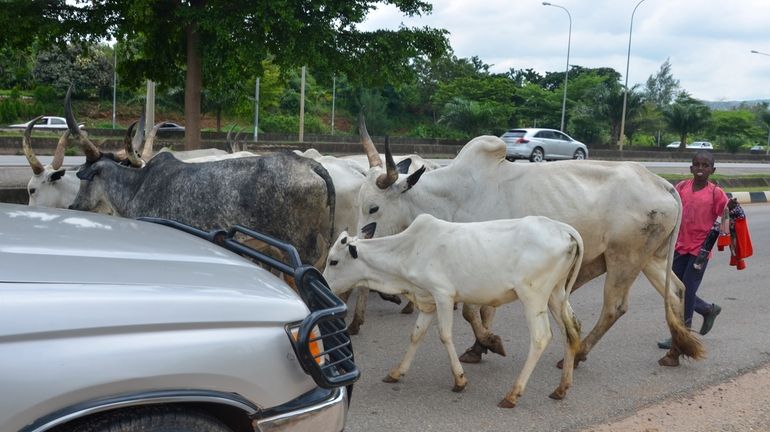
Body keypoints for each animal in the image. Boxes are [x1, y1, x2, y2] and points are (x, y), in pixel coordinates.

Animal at [320, 215, 584, 408]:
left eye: (333, 261)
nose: (324, 286)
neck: (408, 251)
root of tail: (562, 228)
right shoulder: (427, 301)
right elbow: (416, 335)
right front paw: (396, 372)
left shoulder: (443, 295)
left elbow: (445, 335)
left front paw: (460, 380)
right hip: (556, 294)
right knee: (571, 331)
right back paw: (561, 388)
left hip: (533, 296)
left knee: (541, 337)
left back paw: (512, 394)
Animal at [354, 132, 704, 368]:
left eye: (373, 208)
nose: (357, 247)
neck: (453, 196)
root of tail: (662, 183)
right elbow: (480, 311)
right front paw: (479, 347)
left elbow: (472, 311)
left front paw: (489, 342)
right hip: (651, 257)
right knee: (676, 291)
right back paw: (675, 351)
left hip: (624, 257)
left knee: (614, 307)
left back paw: (578, 354)